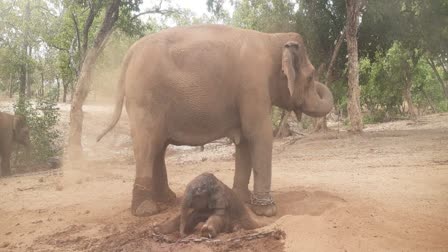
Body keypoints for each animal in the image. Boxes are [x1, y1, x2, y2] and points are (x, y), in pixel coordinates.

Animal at [100, 25, 334, 217]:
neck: (272, 39)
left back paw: (166, 200)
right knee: (147, 146)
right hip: (144, 99)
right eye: (311, 77)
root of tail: (130, 52)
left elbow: (244, 139)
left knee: (157, 146)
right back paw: (146, 211)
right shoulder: (253, 84)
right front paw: (267, 210)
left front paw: (241, 199)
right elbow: (258, 134)